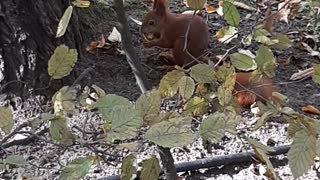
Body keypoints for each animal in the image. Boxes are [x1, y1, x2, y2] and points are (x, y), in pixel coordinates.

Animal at [140, 0, 278, 107]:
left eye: (151, 22)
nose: (142, 31)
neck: (166, 22)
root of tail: (199, 60)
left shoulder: (170, 32)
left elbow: (165, 43)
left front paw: (149, 43)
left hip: (180, 46)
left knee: (183, 66)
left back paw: (168, 65)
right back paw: (166, 57)